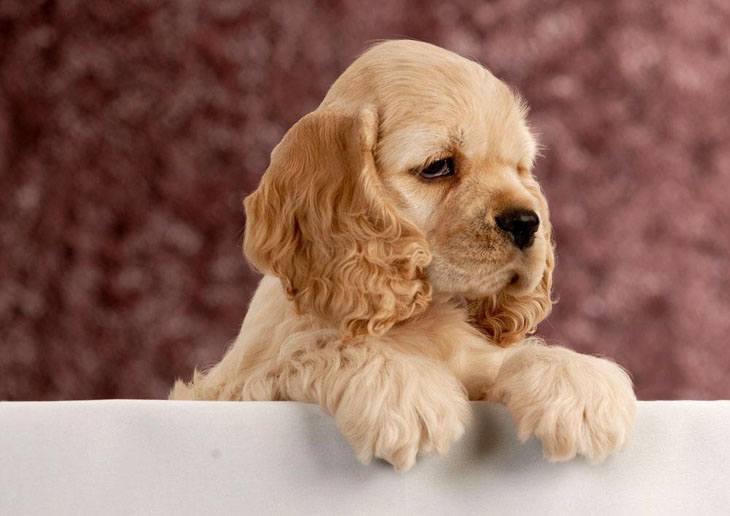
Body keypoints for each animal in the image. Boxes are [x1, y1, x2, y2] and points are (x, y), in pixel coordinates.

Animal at [169, 41, 632, 472]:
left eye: (520, 169)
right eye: (438, 166)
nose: (526, 221)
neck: (421, 314)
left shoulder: (476, 361)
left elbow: (510, 357)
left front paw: (577, 381)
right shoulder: (243, 385)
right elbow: (318, 347)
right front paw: (404, 389)